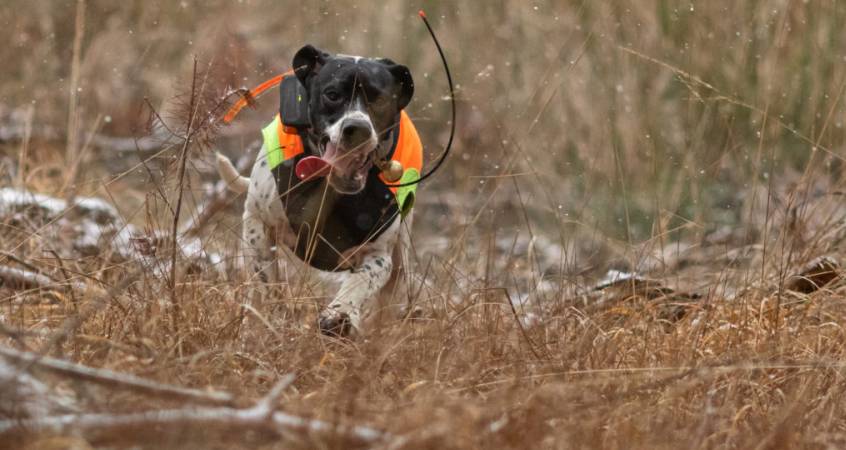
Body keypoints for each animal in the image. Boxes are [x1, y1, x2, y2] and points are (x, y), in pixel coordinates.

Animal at [217, 44, 420, 338]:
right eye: (332, 95)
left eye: (379, 99)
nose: (358, 129)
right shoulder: (257, 225)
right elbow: (267, 284)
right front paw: (270, 321)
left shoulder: (379, 255)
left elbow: (360, 282)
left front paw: (339, 314)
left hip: (400, 261)